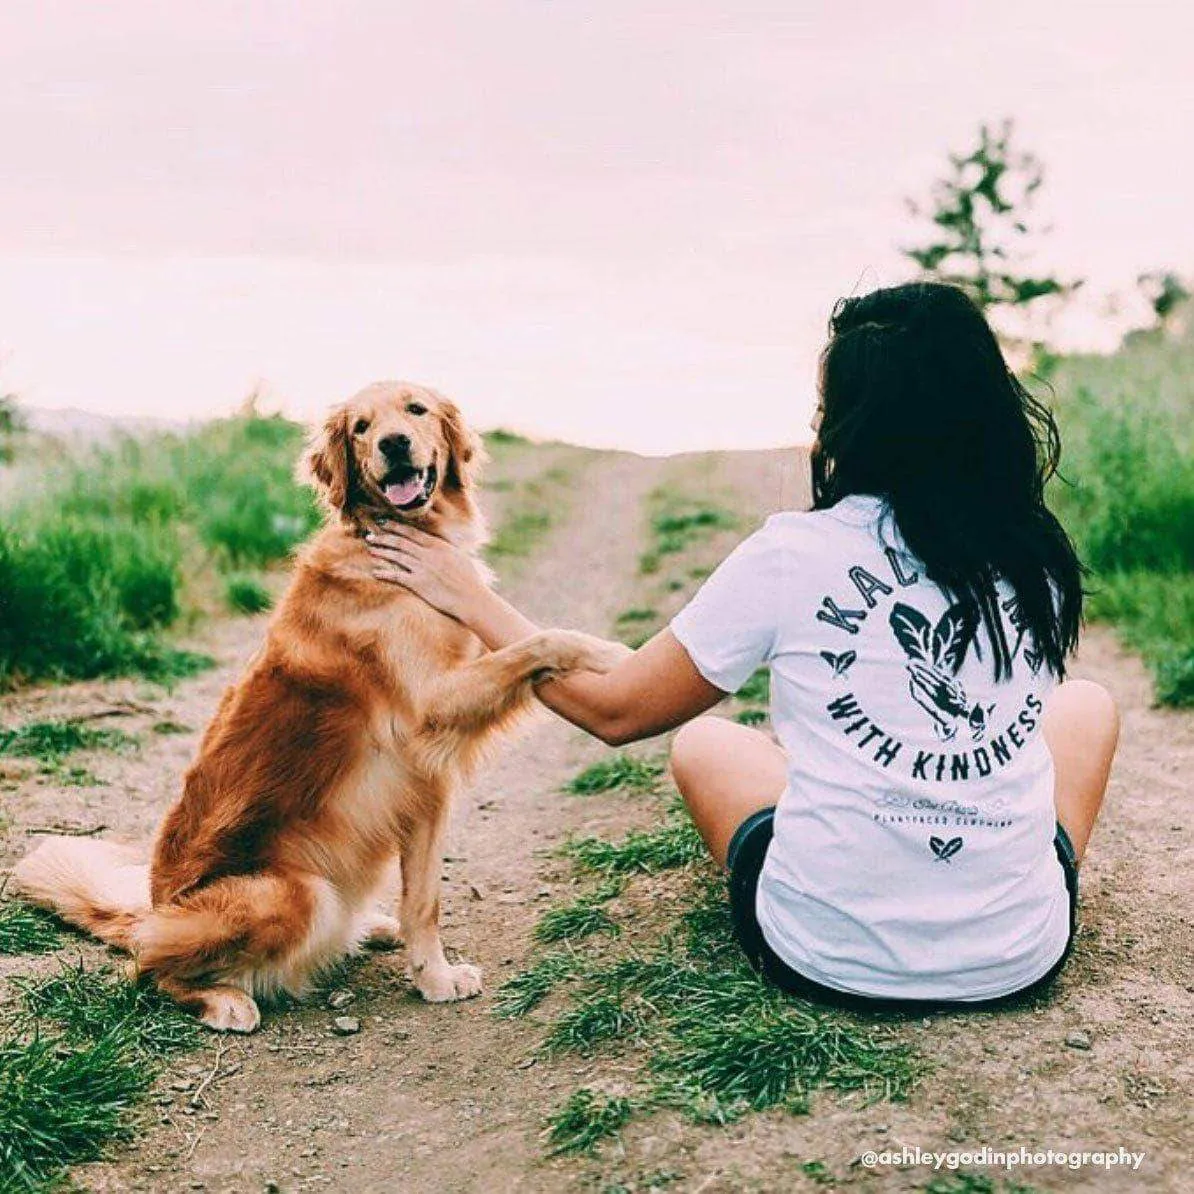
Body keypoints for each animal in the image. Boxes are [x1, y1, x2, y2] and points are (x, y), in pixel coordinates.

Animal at [14, 379, 620, 1026]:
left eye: (416, 409)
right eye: (360, 427)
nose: (394, 443)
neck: (393, 542)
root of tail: (150, 908)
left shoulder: (426, 787)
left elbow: (424, 901)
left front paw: (432, 976)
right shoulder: (432, 706)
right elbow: (542, 639)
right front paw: (609, 653)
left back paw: (371, 928)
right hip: (293, 891)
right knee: (146, 967)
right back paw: (225, 1001)